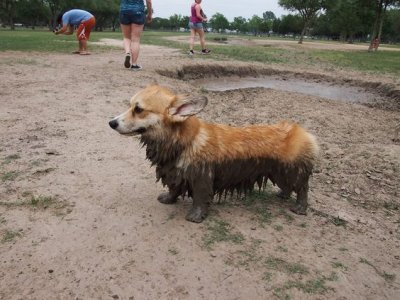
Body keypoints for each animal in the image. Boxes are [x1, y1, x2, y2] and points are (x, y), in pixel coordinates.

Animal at [108, 84, 318, 223]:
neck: (183, 141)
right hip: (279, 172)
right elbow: (174, 189)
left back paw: (300, 208)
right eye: (130, 105)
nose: (111, 123)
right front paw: (168, 199)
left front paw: (195, 217)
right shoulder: (174, 173)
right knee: (288, 186)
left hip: (292, 170)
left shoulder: (202, 178)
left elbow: (200, 199)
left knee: (302, 188)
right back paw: (282, 195)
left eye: (138, 109)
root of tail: (303, 132)